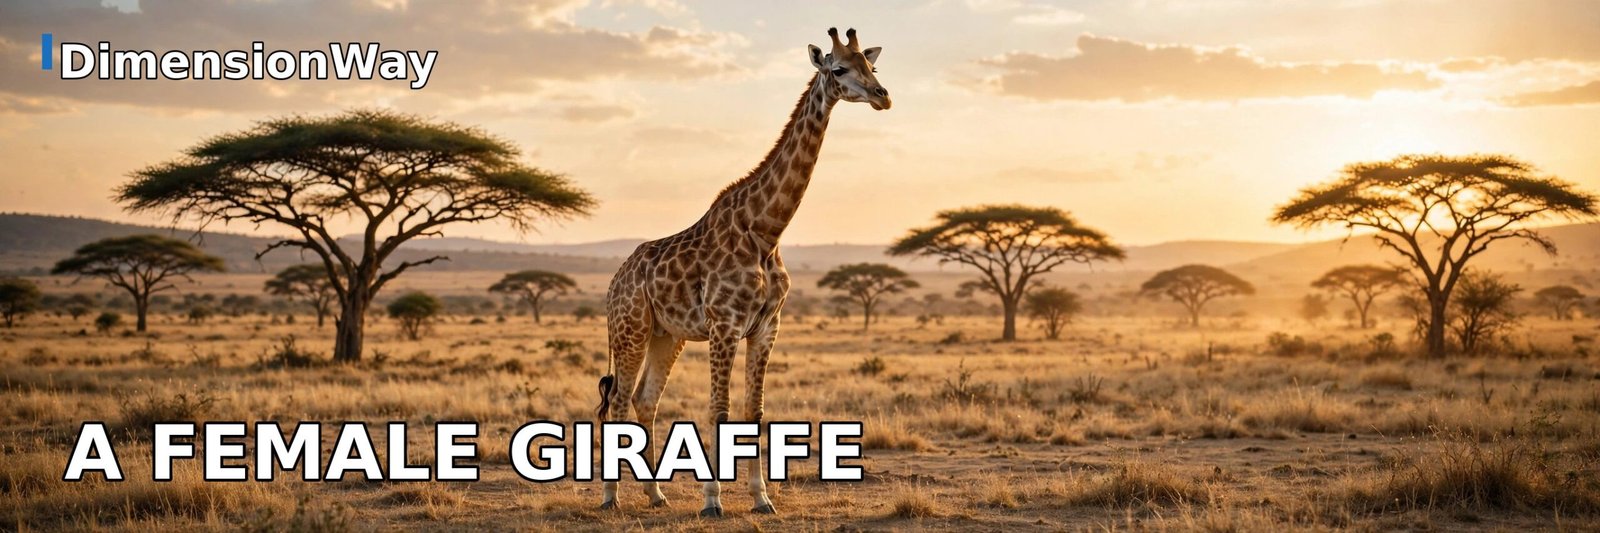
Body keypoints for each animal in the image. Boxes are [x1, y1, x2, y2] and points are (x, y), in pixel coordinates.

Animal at [594, 27, 891, 517]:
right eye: (838, 69)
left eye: (873, 66)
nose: (883, 96)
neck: (766, 231)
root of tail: (614, 282)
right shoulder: (725, 324)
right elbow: (719, 408)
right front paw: (713, 501)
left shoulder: (767, 326)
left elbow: (755, 410)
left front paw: (761, 498)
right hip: (630, 328)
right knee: (618, 399)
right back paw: (610, 497)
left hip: (666, 335)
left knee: (644, 399)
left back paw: (655, 494)